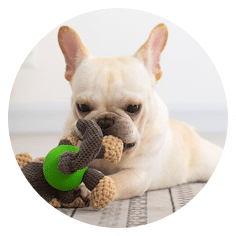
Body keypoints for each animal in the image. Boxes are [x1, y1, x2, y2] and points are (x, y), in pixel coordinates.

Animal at [58, 23, 222, 202]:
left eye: (133, 107)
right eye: (82, 107)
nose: (105, 121)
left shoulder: (137, 174)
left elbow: (114, 180)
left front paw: (90, 188)